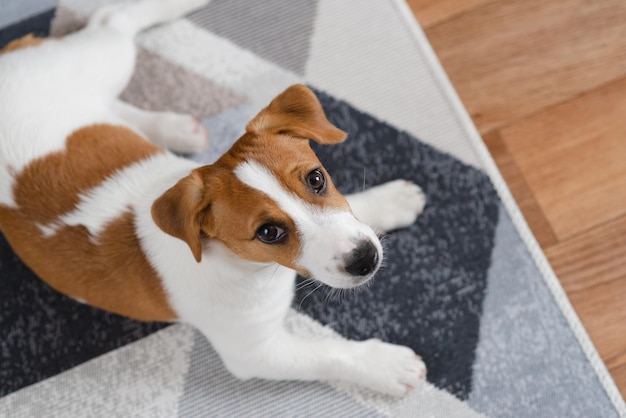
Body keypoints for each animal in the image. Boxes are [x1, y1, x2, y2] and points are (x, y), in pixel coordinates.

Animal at [0, 0, 424, 396]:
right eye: (268, 233)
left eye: (317, 179)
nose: (366, 259)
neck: (248, 267)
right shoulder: (256, 353)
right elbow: (330, 354)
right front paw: (386, 366)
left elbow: (354, 210)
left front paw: (391, 202)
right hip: (98, 61)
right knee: (111, 18)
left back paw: (176, 128)